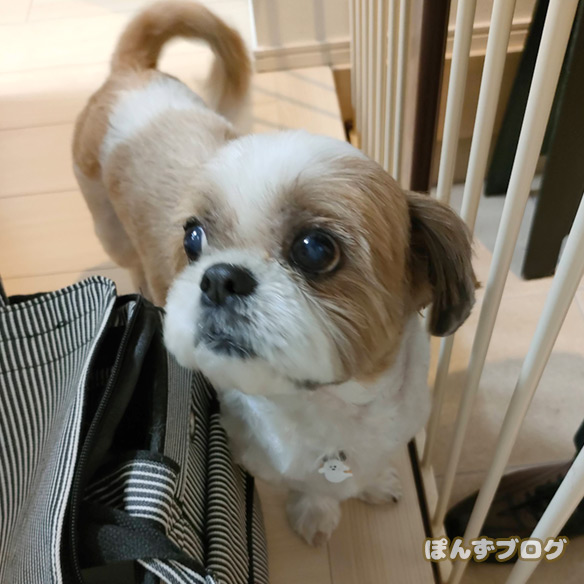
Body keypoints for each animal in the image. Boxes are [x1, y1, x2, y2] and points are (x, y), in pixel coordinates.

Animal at [73, 1, 476, 545]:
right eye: (193, 238)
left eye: (315, 249)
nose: (219, 278)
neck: (335, 406)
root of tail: (130, 74)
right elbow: (310, 487)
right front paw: (317, 512)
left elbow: (367, 470)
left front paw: (373, 484)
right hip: (104, 222)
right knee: (126, 252)